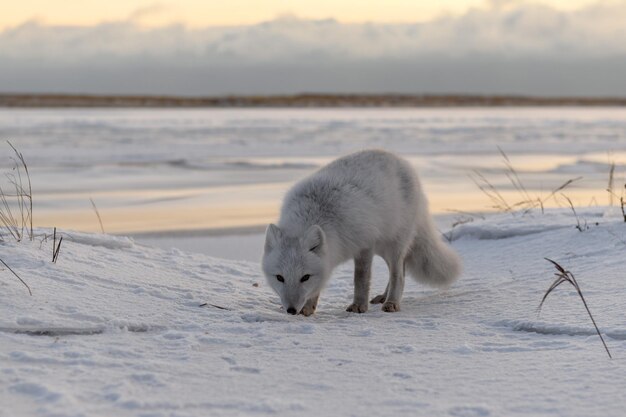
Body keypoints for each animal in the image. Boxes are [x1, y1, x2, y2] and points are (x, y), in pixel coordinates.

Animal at [260, 148, 460, 314]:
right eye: (280, 278)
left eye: (305, 277)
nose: (291, 310)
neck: (316, 214)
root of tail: (399, 159)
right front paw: (309, 308)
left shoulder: (364, 245)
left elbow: (361, 279)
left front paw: (358, 306)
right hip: (383, 247)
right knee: (401, 269)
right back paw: (384, 297)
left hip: (394, 244)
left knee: (398, 274)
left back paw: (392, 302)